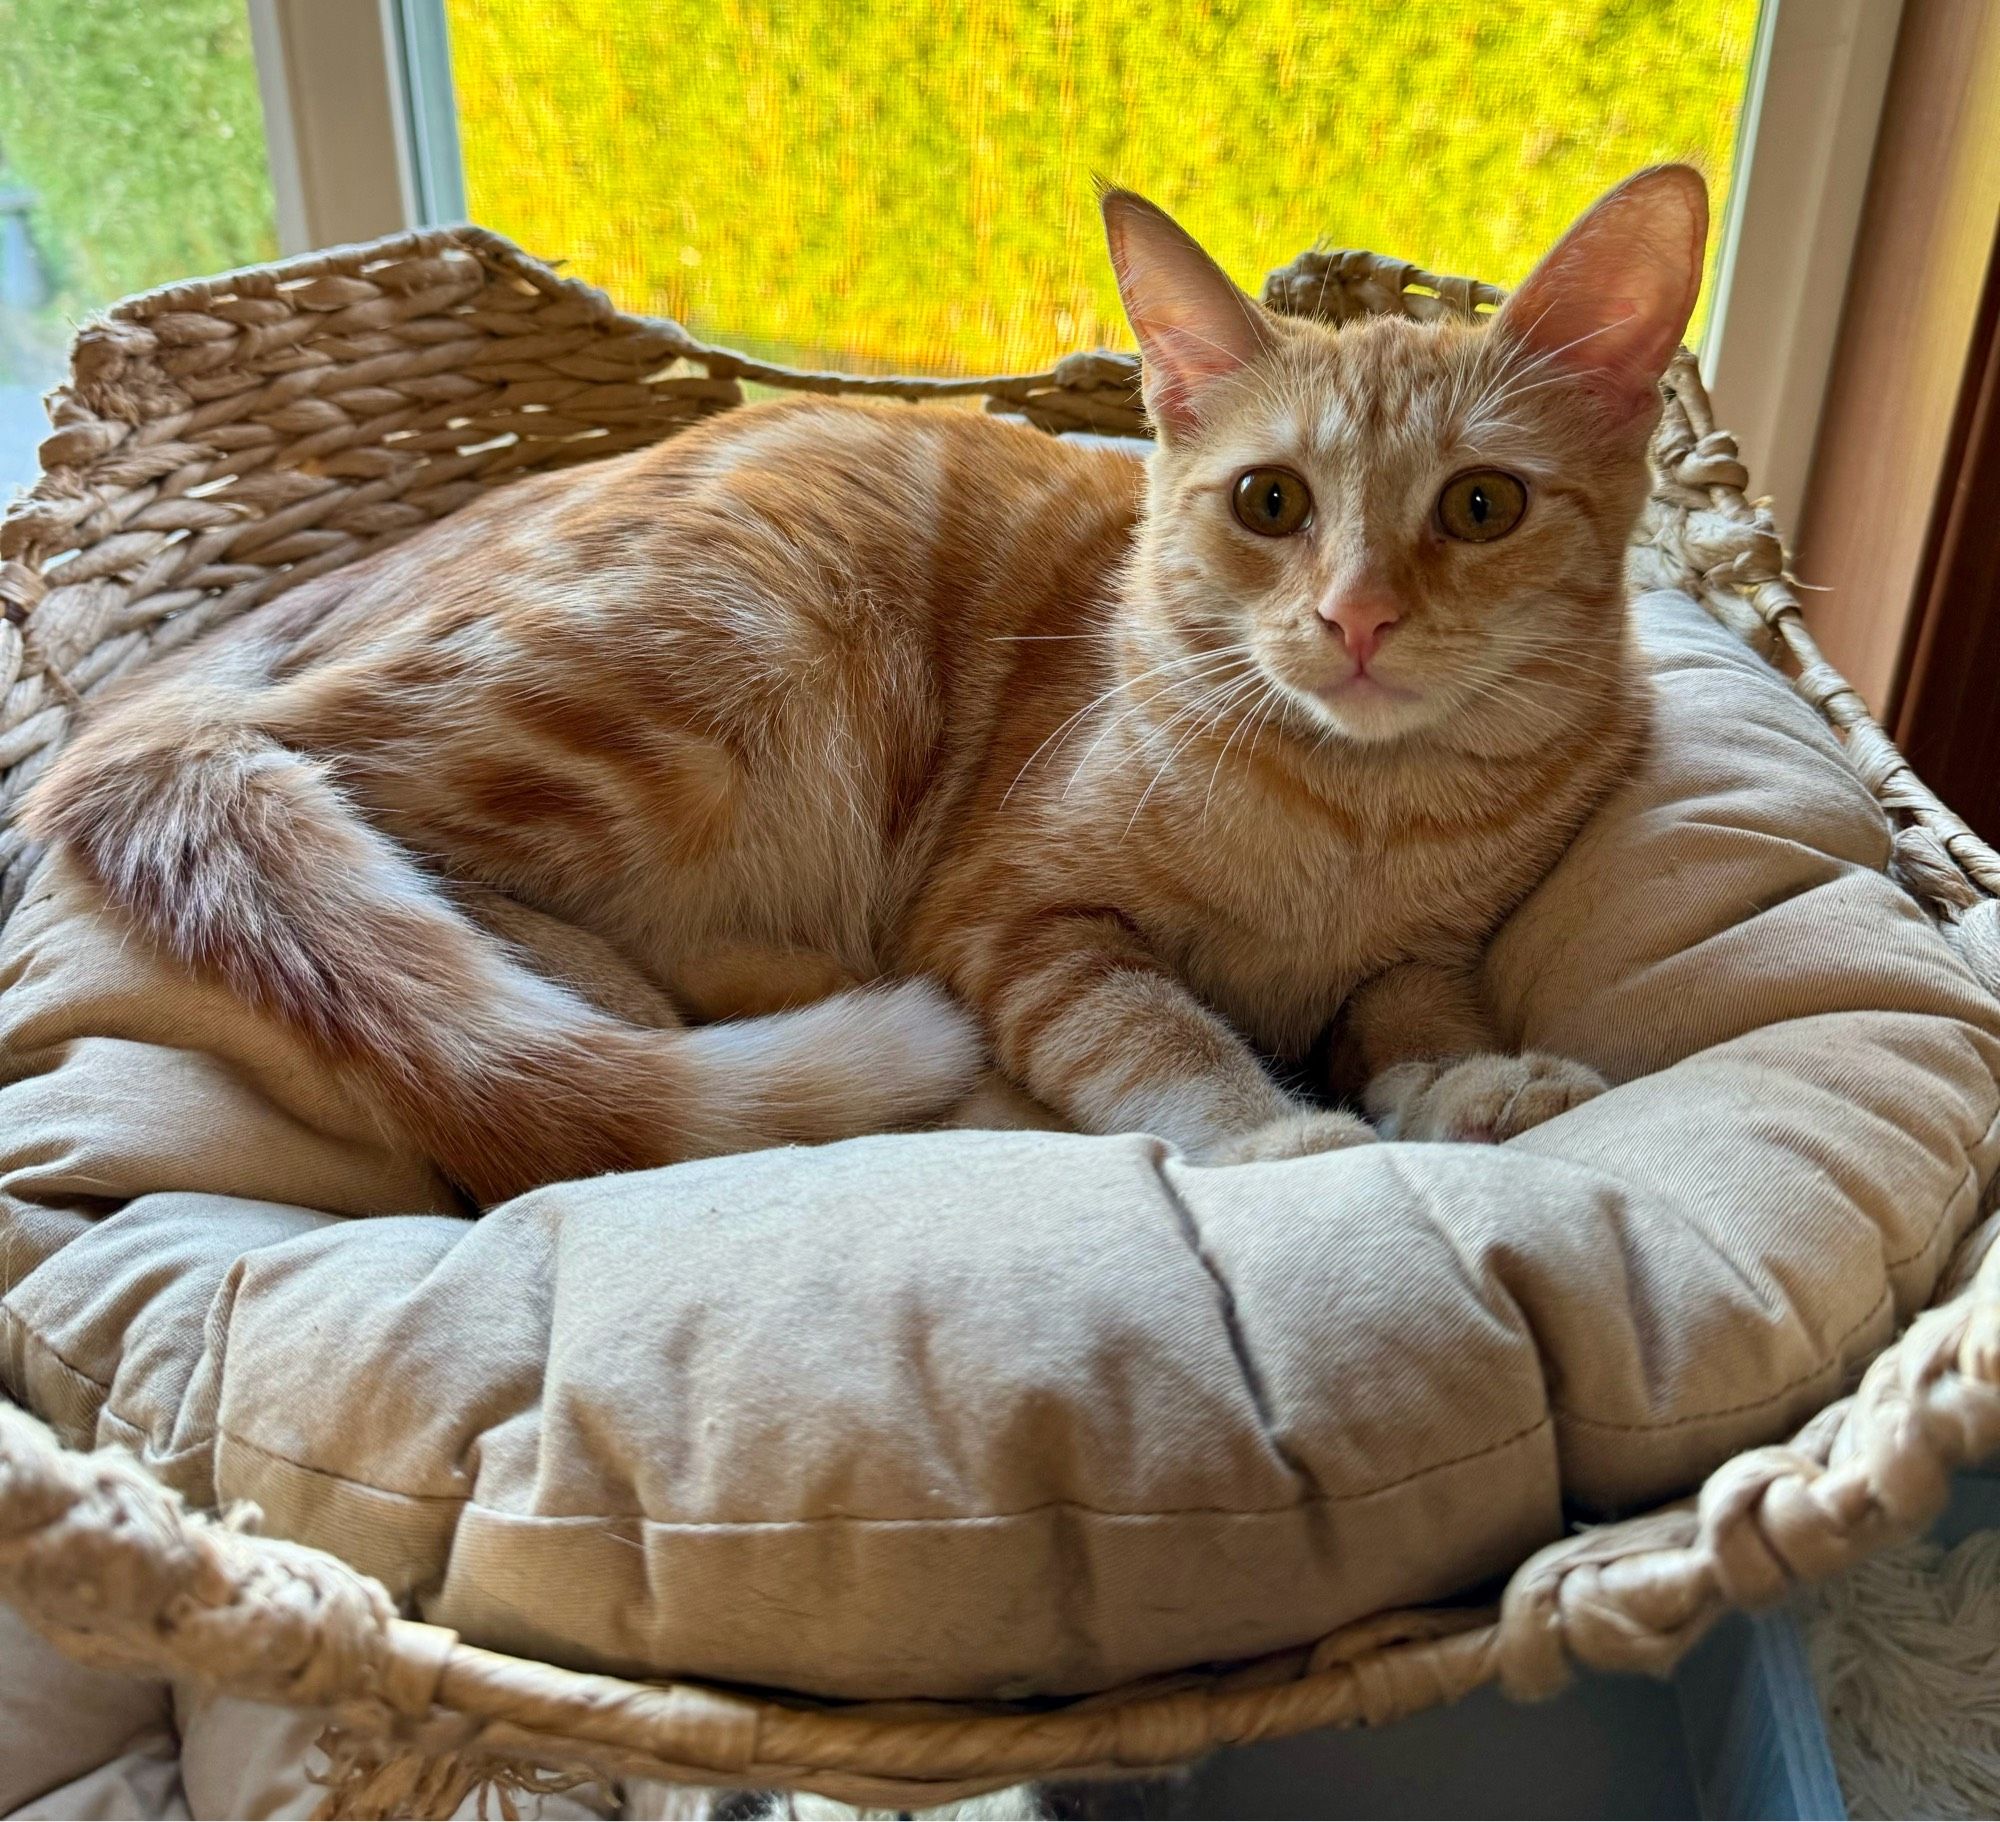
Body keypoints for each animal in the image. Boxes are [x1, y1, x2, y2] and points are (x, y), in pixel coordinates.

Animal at [27, 164, 1704, 1208]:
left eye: (1481, 506)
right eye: (1271, 503)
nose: (1355, 616)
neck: (1364, 809)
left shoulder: (1423, 949)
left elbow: (1418, 1009)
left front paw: (1474, 1086)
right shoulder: (1019, 919)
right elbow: (1162, 1035)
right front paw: (1282, 1139)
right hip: (708, 667)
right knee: (376, 826)